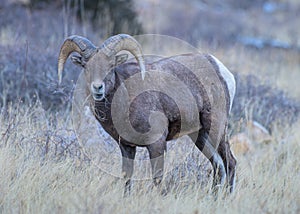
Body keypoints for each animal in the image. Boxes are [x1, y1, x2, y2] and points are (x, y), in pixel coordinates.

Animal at [57, 33, 238, 194]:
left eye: (110, 65)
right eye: (86, 66)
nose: (97, 88)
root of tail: (221, 69)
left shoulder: (156, 143)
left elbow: (157, 178)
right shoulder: (127, 147)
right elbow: (127, 177)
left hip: (215, 129)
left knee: (230, 163)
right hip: (200, 136)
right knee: (217, 166)